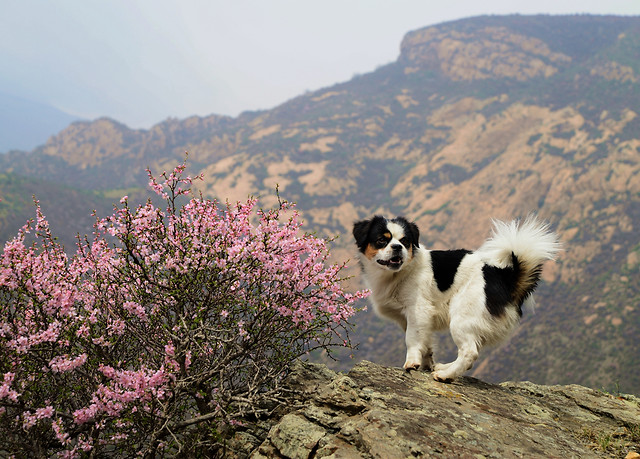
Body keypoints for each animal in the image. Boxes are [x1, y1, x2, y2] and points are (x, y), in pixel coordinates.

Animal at [352, 217, 556, 382]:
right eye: (382, 240)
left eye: (405, 241)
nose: (397, 247)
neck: (398, 273)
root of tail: (504, 276)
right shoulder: (414, 319)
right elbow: (426, 343)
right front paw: (426, 364)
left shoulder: (418, 311)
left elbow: (412, 339)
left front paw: (412, 362)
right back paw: (444, 367)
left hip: (462, 319)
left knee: (469, 353)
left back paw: (445, 375)